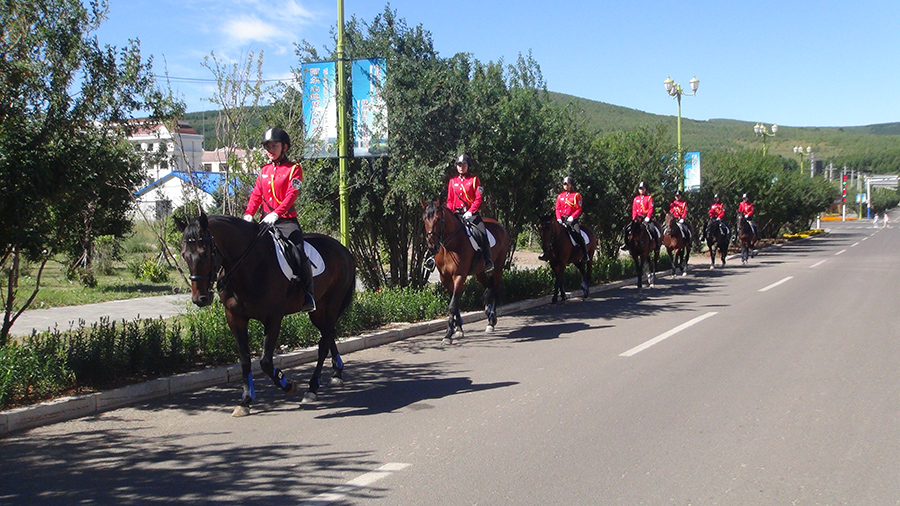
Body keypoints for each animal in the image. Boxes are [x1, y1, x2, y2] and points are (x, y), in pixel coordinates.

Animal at [176, 211, 356, 418]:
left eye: (205, 253)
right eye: (184, 255)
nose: (200, 298)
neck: (249, 265)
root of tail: (343, 249)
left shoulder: (273, 318)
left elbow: (265, 362)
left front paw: (288, 385)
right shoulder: (235, 317)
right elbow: (245, 359)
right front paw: (246, 400)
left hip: (331, 304)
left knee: (324, 341)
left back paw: (312, 388)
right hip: (318, 311)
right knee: (328, 335)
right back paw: (336, 373)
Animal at [420, 200, 506, 346]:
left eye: (438, 219)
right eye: (424, 219)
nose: (432, 247)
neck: (450, 247)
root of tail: (499, 225)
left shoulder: (459, 276)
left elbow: (453, 305)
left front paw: (448, 334)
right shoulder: (445, 278)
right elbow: (455, 303)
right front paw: (458, 329)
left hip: (498, 269)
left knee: (495, 289)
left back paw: (491, 321)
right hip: (480, 273)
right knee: (488, 287)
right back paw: (488, 313)